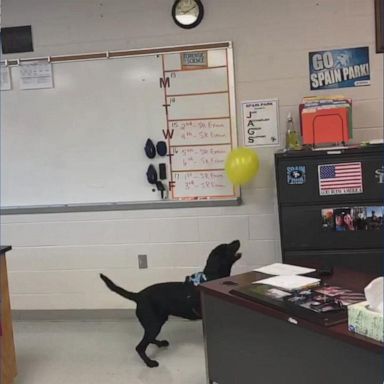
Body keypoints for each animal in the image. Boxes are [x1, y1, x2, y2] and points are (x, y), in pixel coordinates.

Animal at [100, 240, 242, 368]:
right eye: (227, 246)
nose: (238, 240)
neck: (211, 275)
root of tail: (138, 295)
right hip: (154, 324)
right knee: (140, 346)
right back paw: (150, 363)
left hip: (157, 321)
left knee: (148, 338)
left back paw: (160, 343)